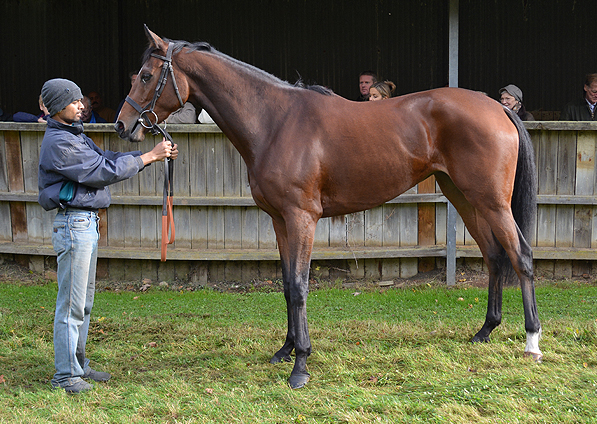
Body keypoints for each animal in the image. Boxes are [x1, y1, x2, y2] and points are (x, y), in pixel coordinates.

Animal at [114, 26, 544, 390]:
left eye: (146, 76)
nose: (122, 125)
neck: (275, 122)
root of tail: (496, 107)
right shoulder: (280, 221)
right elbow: (287, 285)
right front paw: (285, 350)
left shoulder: (302, 218)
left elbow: (300, 286)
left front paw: (301, 366)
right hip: (464, 198)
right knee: (494, 256)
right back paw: (484, 331)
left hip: (491, 201)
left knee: (520, 255)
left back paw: (532, 341)